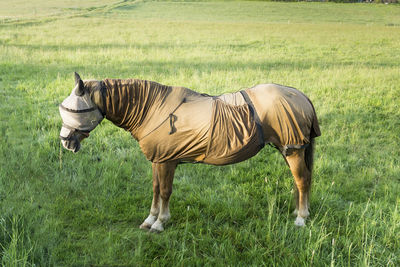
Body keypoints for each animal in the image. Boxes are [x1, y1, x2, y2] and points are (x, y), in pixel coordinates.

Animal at [59, 73, 320, 232]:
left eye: (75, 109)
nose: (65, 142)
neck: (151, 109)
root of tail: (301, 96)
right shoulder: (158, 160)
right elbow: (155, 189)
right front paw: (150, 219)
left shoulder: (167, 161)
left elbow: (165, 191)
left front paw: (160, 222)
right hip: (288, 150)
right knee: (300, 182)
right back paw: (299, 212)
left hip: (293, 151)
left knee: (302, 181)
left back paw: (301, 218)